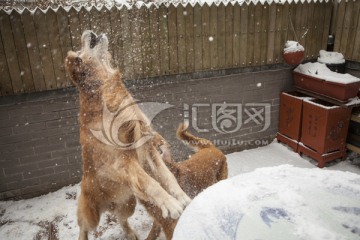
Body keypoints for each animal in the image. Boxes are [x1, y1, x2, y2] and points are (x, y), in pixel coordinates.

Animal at [64, 30, 191, 240]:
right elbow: (151, 183)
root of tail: (109, 206)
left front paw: (182, 197)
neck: (105, 89)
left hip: (128, 203)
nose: (87, 31)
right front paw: (171, 204)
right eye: (79, 51)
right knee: (83, 227)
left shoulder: (148, 147)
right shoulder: (123, 161)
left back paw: (130, 233)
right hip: (91, 215)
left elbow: (167, 177)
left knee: (120, 219)